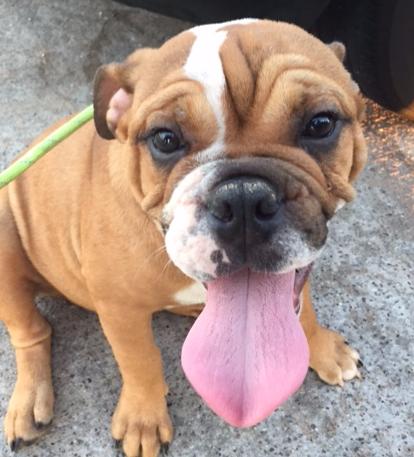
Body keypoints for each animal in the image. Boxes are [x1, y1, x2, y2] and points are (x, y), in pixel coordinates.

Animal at [0, 19, 366, 457]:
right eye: (165, 139)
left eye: (320, 124)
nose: (243, 198)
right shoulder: (119, 308)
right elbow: (140, 360)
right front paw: (143, 419)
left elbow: (303, 308)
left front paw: (322, 348)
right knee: (31, 333)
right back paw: (28, 400)